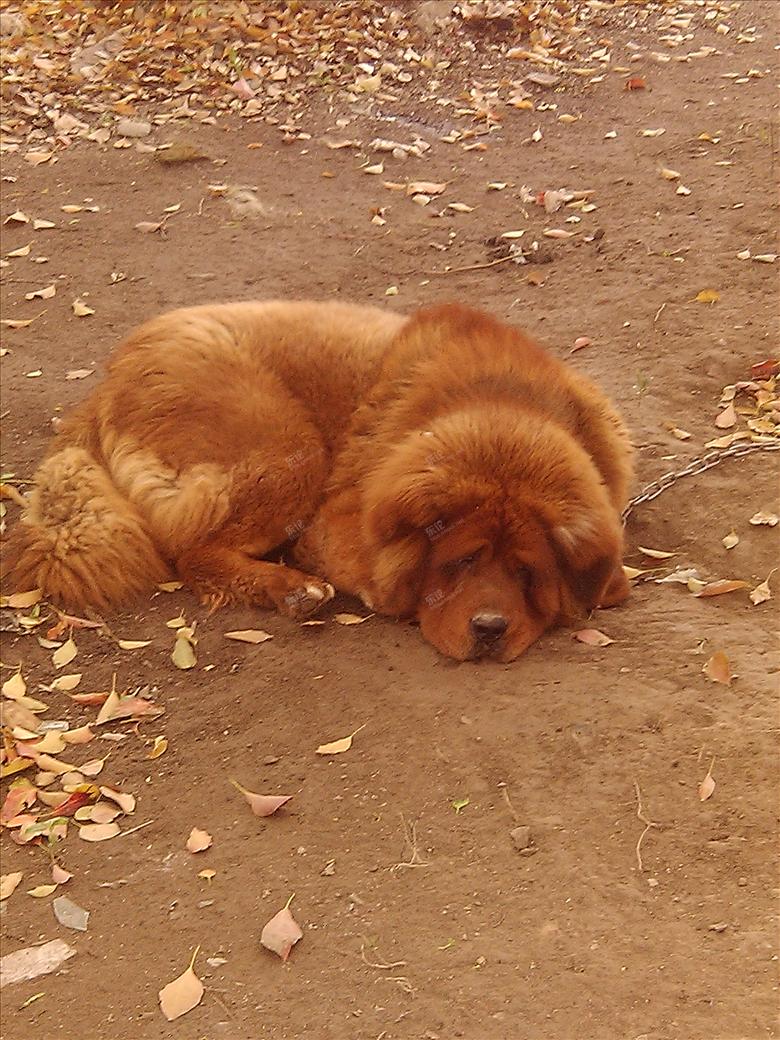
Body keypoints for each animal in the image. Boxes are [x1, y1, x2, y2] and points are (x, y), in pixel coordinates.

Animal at [6, 301, 636, 657]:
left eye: (527, 572)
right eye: (460, 562)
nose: (488, 628)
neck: (503, 402)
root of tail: (107, 383)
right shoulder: (336, 523)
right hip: (290, 450)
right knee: (192, 553)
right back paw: (293, 590)